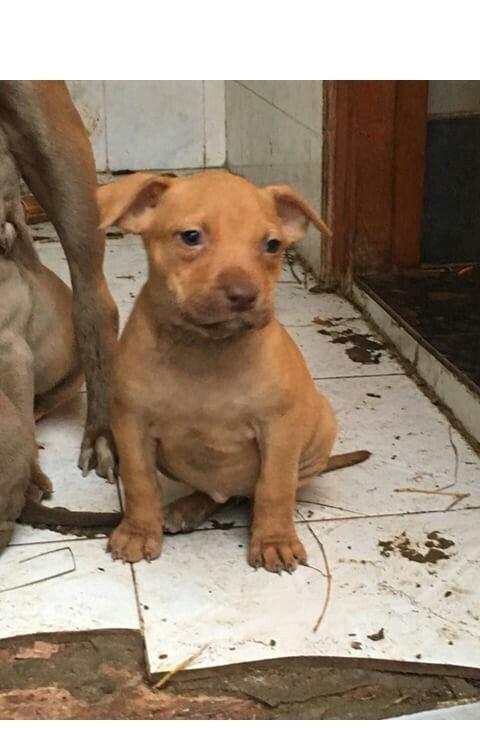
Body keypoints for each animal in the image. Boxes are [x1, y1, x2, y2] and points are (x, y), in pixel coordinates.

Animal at [97, 171, 369, 573]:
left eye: (272, 245)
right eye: (191, 236)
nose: (244, 295)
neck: (206, 348)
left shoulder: (279, 429)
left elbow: (275, 486)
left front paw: (274, 540)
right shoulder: (131, 423)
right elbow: (139, 480)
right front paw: (138, 531)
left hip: (321, 424)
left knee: (265, 489)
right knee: (217, 494)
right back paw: (187, 508)